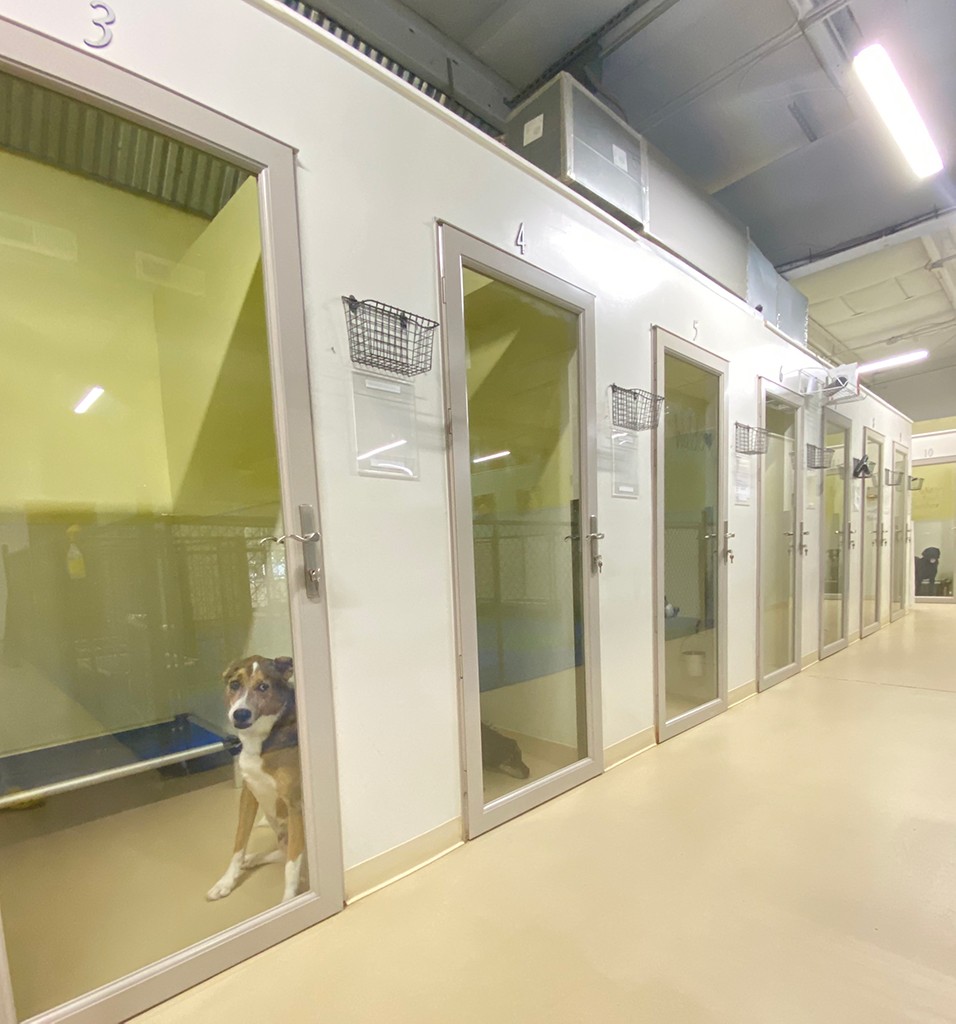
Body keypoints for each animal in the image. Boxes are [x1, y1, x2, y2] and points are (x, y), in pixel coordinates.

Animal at [207, 659, 305, 901]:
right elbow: (239, 843)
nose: (240, 713)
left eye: (263, 686)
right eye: (234, 684)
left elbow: (292, 866)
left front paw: (288, 901)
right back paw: (251, 859)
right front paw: (226, 881)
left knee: (292, 855)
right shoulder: (248, 794)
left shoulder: (295, 805)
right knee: (282, 852)